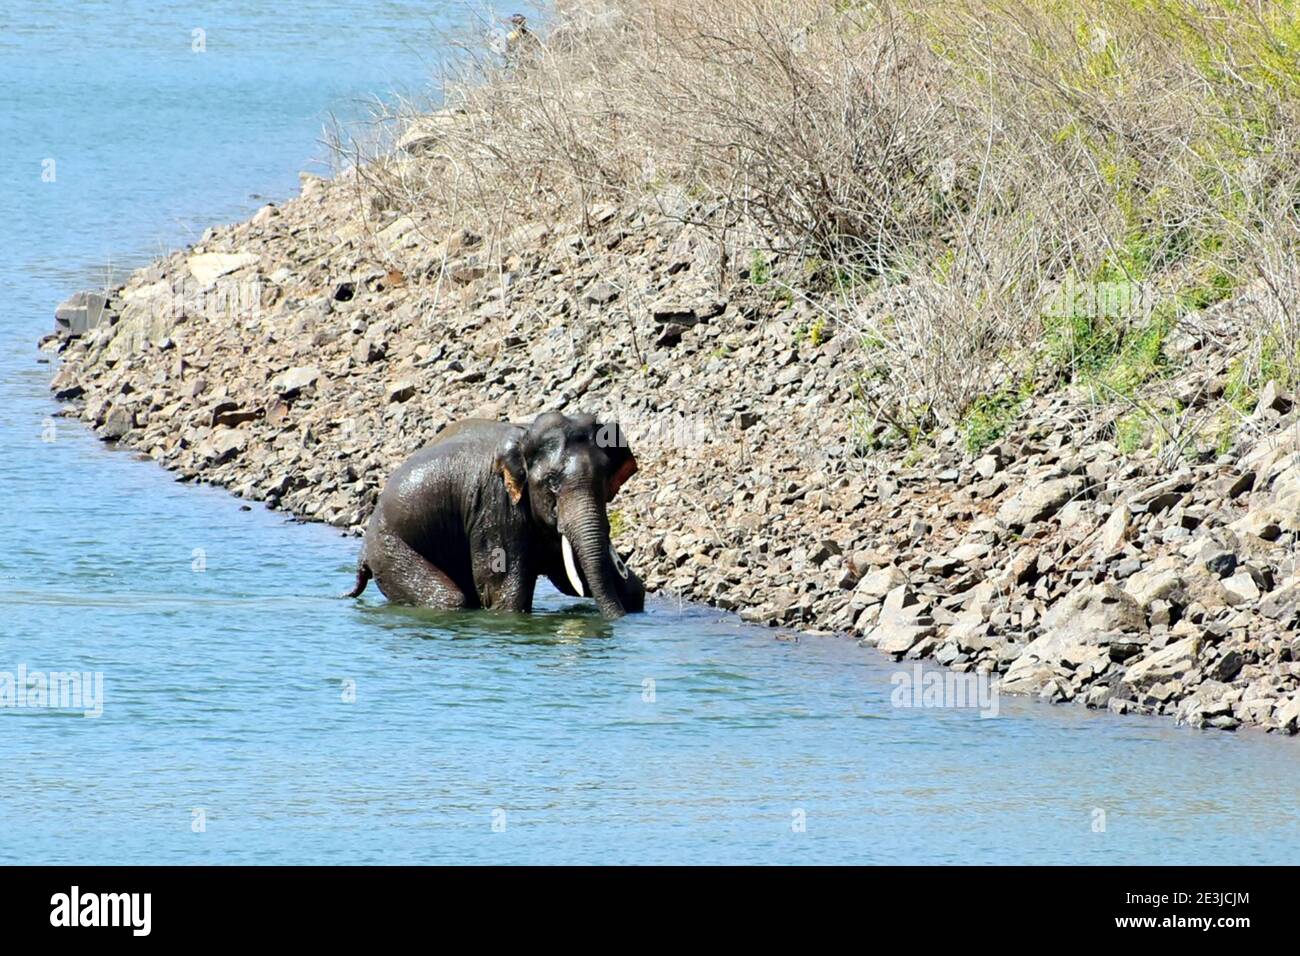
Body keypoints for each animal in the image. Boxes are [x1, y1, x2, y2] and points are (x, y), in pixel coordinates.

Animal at [348, 411, 647, 621]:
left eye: (606, 478)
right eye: (551, 482)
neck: (524, 437)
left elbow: (572, 577)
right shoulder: (495, 507)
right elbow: (505, 593)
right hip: (388, 549)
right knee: (448, 599)